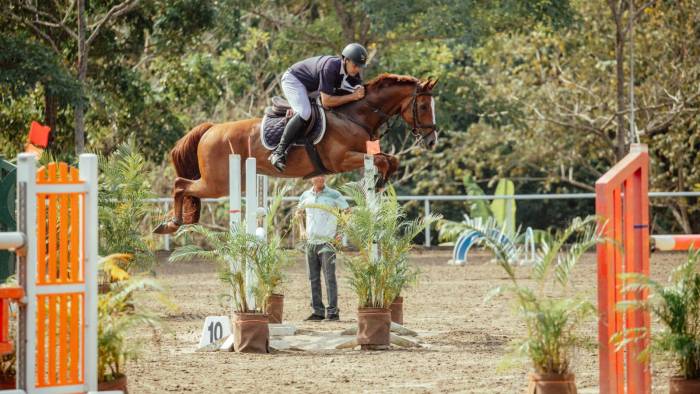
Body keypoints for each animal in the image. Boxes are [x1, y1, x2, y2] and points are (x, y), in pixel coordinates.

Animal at [153, 73, 438, 234]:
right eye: (424, 106)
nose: (432, 140)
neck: (354, 115)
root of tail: (211, 129)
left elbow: (392, 159)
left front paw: (379, 183)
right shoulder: (341, 160)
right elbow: (382, 159)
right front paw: (379, 181)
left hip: (228, 181)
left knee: (184, 186)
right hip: (217, 183)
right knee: (180, 185)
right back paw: (171, 224)